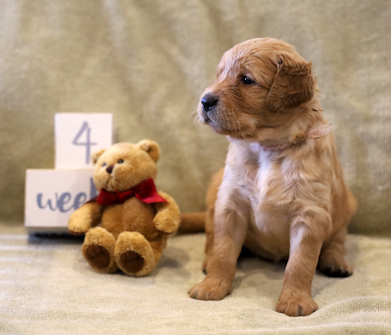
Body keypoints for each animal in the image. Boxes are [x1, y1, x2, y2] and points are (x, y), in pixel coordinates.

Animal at [189, 37, 358, 318]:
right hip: (214, 193)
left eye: (247, 79)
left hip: (346, 207)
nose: (204, 100)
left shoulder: (310, 213)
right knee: (211, 238)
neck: (267, 148)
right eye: (219, 75)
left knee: (337, 240)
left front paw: (295, 301)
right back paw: (206, 261)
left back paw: (335, 262)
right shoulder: (230, 203)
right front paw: (211, 286)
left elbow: (300, 263)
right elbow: (223, 251)